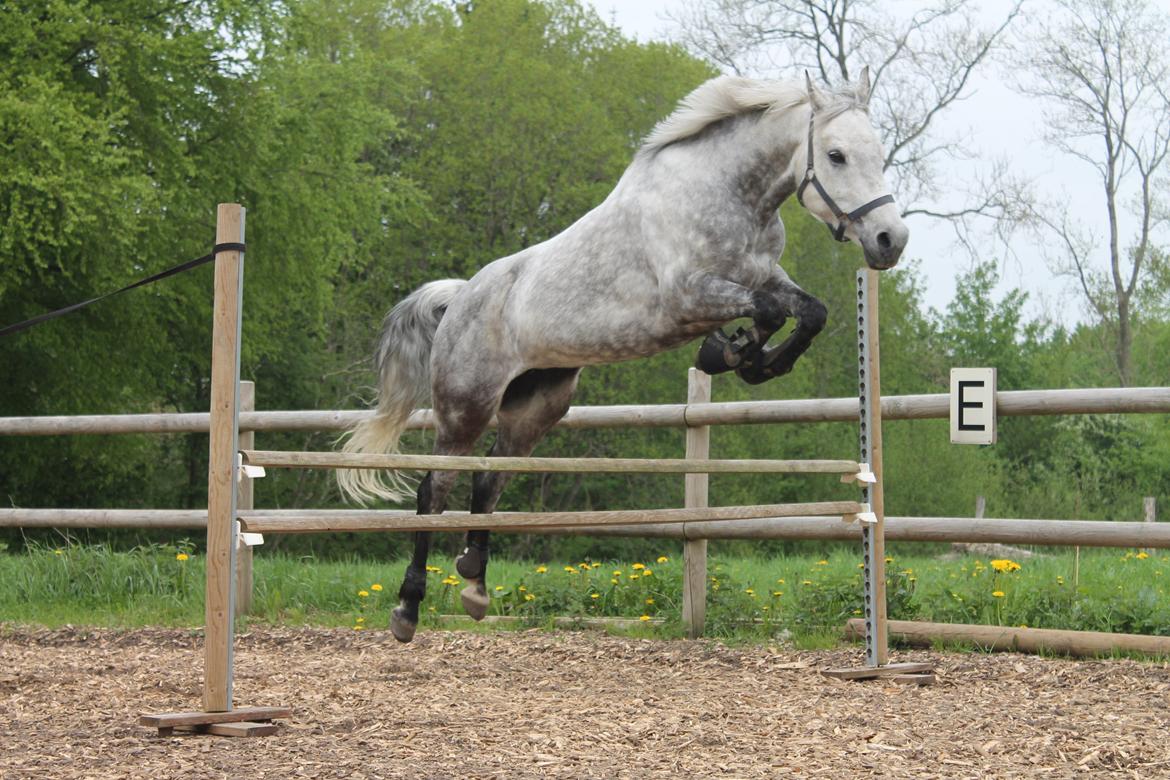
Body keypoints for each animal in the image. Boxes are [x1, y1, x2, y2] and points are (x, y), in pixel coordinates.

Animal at [336, 68, 903, 640]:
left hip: (538, 406)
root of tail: (459, 297)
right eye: (835, 155)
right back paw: (408, 609)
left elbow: (808, 311)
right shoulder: (688, 297)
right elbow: (768, 310)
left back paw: (474, 583)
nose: (890, 241)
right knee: (435, 488)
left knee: (490, 478)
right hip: (465, 406)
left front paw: (747, 357)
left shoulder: (763, 278)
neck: (730, 194)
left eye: (877, 154)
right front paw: (732, 352)